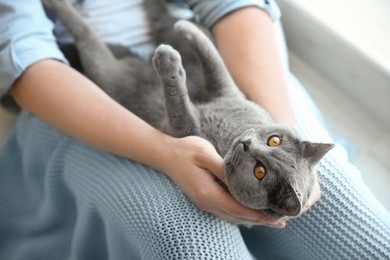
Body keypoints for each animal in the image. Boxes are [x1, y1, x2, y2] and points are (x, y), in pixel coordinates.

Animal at [43, 0, 336, 219]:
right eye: (274, 140)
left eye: (260, 171)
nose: (247, 145)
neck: (231, 131)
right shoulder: (227, 90)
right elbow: (213, 61)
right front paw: (187, 28)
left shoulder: (178, 130)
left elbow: (180, 106)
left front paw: (169, 63)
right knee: (159, 23)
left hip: (109, 73)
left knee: (86, 35)